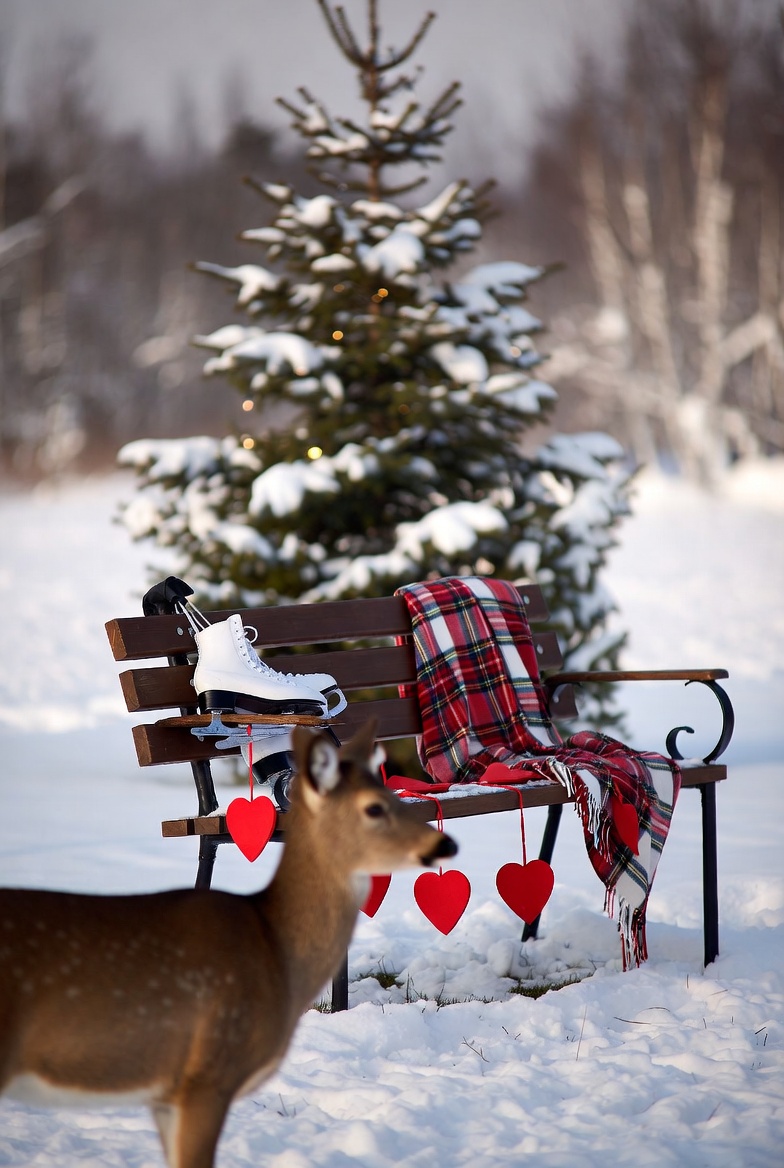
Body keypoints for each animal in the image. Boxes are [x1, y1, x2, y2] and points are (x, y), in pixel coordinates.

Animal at [0, 720, 457, 1168]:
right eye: (374, 807)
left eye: (392, 794)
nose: (445, 843)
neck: (273, 947)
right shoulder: (208, 1075)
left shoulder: (165, 1094)